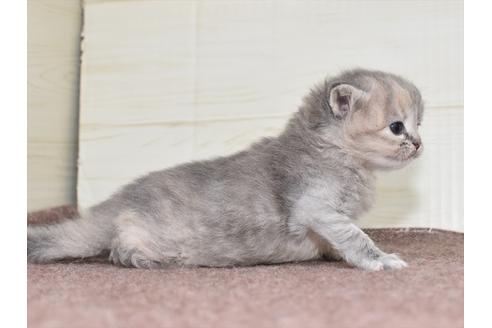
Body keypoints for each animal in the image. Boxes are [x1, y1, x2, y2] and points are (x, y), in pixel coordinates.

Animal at [28, 68, 424, 270]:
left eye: (419, 124)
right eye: (396, 127)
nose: (419, 144)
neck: (333, 152)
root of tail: (111, 206)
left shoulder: (326, 219)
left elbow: (340, 240)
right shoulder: (317, 208)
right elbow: (356, 237)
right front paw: (380, 259)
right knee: (117, 245)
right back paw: (141, 256)